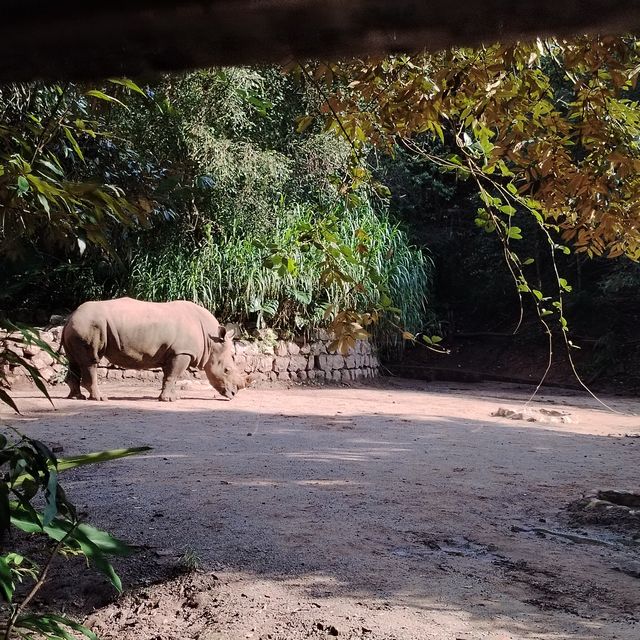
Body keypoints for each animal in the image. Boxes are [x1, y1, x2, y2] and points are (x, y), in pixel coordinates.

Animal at [62, 298, 248, 400]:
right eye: (226, 370)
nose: (233, 394)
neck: (211, 341)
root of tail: (70, 316)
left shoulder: (172, 352)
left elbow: (169, 376)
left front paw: (171, 397)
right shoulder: (182, 352)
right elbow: (173, 375)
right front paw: (169, 400)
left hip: (79, 327)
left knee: (74, 361)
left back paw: (77, 396)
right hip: (89, 325)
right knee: (90, 361)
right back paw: (101, 398)